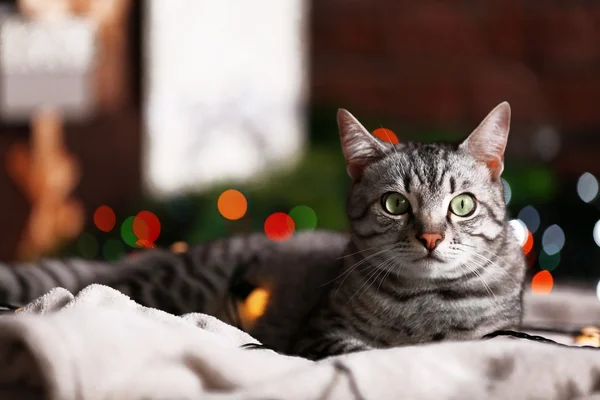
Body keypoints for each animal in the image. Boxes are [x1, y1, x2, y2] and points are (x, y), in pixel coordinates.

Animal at [0, 101, 524, 360]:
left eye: (462, 205)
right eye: (395, 204)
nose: (431, 237)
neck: (426, 301)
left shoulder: (499, 332)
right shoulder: (319, 333)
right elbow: (366, 352)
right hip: (169, 288)